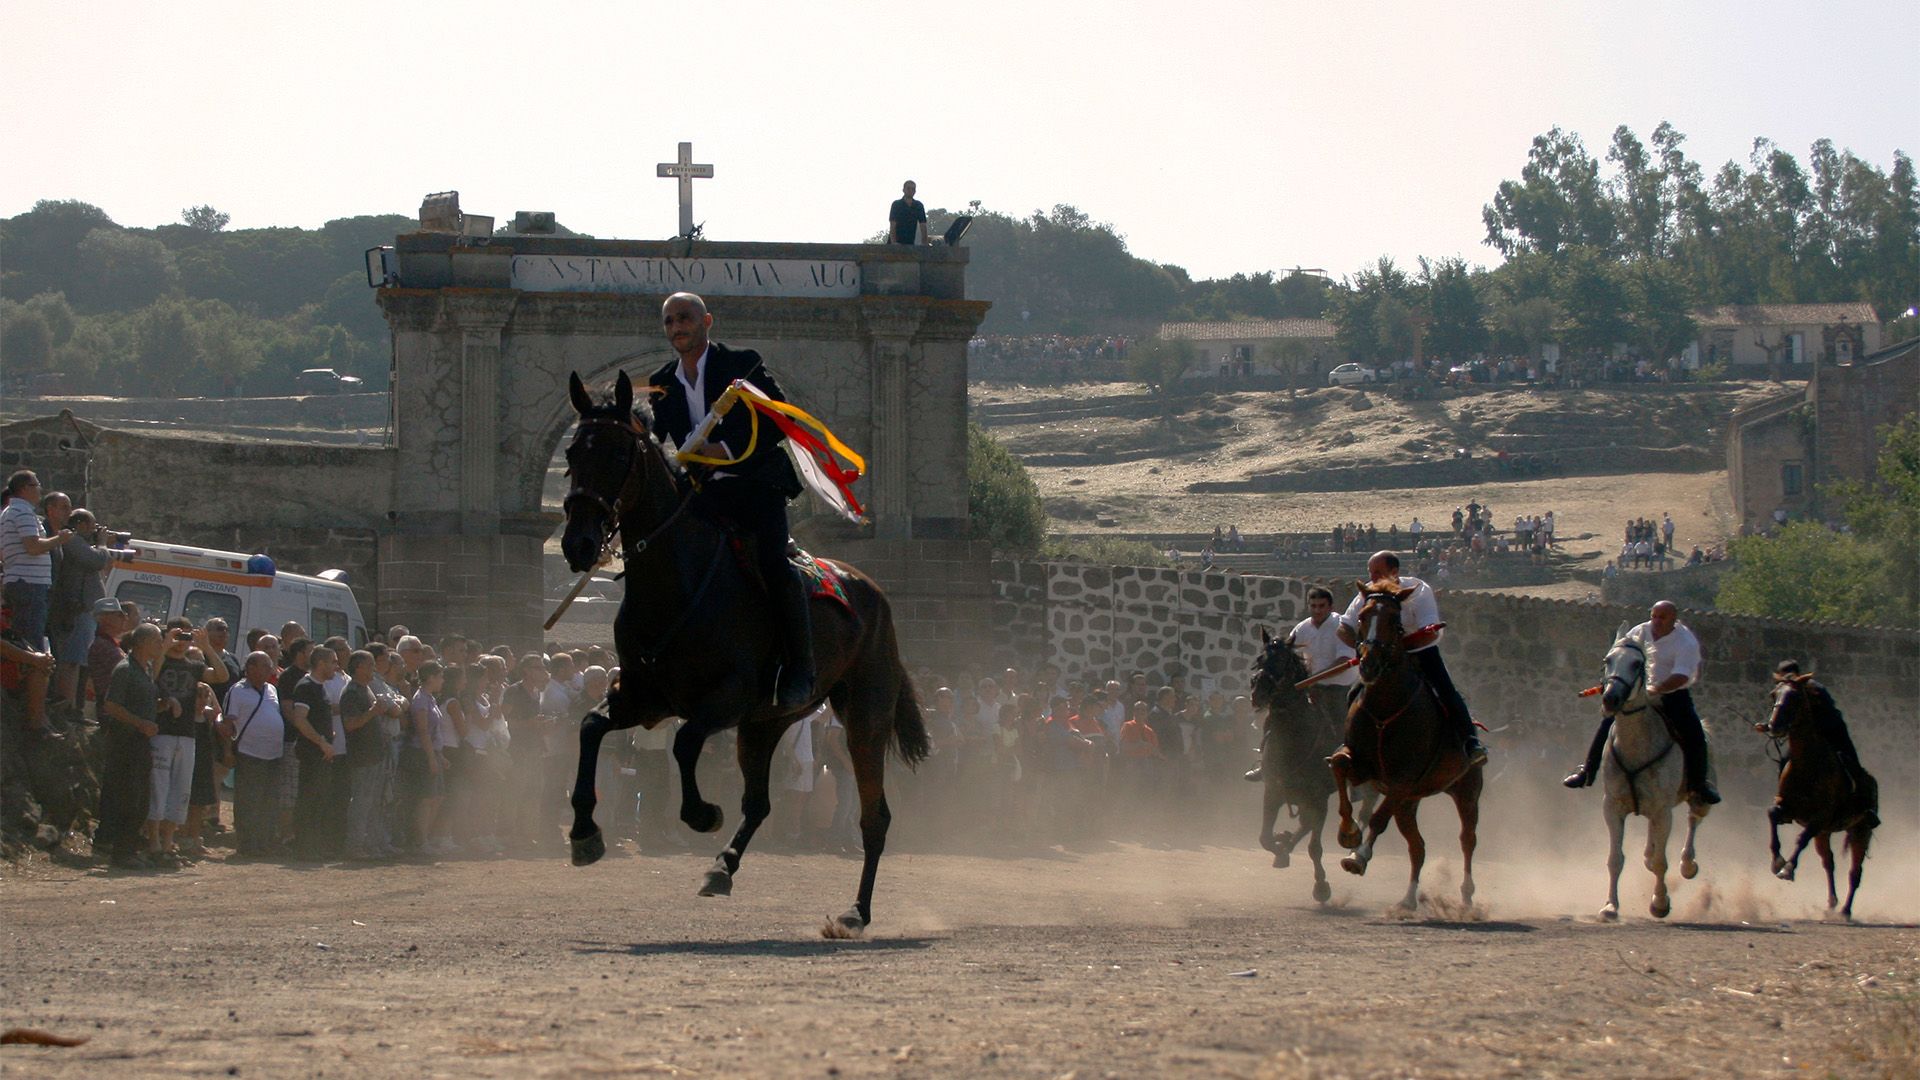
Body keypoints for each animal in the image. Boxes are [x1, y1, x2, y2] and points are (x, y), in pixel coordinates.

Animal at [556, 372, 929, 933]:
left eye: (618, 453)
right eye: (574, 451)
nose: (578, 544)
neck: (679, 581)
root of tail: (874, 595)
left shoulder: (724, 700)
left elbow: (685, 743)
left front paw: (701, 813)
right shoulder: (644, 698)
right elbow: (590, 727)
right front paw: (584, 833)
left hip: (864, 715)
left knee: (874, 816)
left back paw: (856, 912)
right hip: (768, 723)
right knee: (759, 805)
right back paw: (722, 868)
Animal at [1251, 622, 1374, 899]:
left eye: (1282, 660)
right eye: (1260, 658)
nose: (1258, 692)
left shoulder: (1319, 800)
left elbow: (1314, 848)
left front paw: (1321, 886)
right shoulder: (1272, 791)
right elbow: (1264, 838)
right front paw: (1280, 848)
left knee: (1365, 811)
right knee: (1303, 824)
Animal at [1336, 580, 1482, 907]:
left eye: (1395, 620)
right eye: (1362, 616)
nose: (1369, 664)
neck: (1385, 708)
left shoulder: (1402, 779)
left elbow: (1378, 819)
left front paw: (1358, 857)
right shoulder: (1365, 768)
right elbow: (1339, 765)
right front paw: (1349, 834)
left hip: (1466, 791)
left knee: (1467, 840)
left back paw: (1467, 897)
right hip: (1409, 803)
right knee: (1418, 846)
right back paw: (1408, 899)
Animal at [1597, 630, 1720, 914]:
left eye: (1636, 664)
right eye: (1608, 660)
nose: (1610, 699)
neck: (1637, 746)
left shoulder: (1663, 812)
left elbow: (1660, 862)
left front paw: (1660, 903)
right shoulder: (1612, 807)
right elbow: (1615, 859)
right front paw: (1610, 906)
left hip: (1699, 798)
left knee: (1693, 819)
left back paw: (1688, 865)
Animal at [1758, 672, 1881, 914]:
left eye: (1795, 697)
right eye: (1773, 694)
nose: (1774, 725)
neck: (1808, 764)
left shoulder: (1820, 818)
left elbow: (1801, 838)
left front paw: (1787, 869)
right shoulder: (1788, 808)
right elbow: (1772, 814)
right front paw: (1777, 861)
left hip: (1861, 831)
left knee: (1855, 872)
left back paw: (1845, 911)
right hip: (1825, 834)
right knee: (1829, 863)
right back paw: (1832, 902)